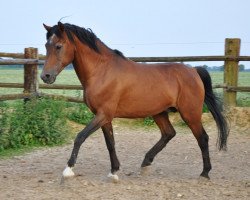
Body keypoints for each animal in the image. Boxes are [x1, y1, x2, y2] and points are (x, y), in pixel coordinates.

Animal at [40, 21, 229, 180]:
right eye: (46, 45)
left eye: (58, 46)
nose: (45, 76)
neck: (102, 71)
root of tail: (194, 70)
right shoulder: (104, 117)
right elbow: (110, 143)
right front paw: (114, 171)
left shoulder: (103, 114)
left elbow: (80, 137)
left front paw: (68, 169)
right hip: (159, 113)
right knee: (168, 133)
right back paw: (145, 163)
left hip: (190, 114)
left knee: (202, 138)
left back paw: (205, 173)